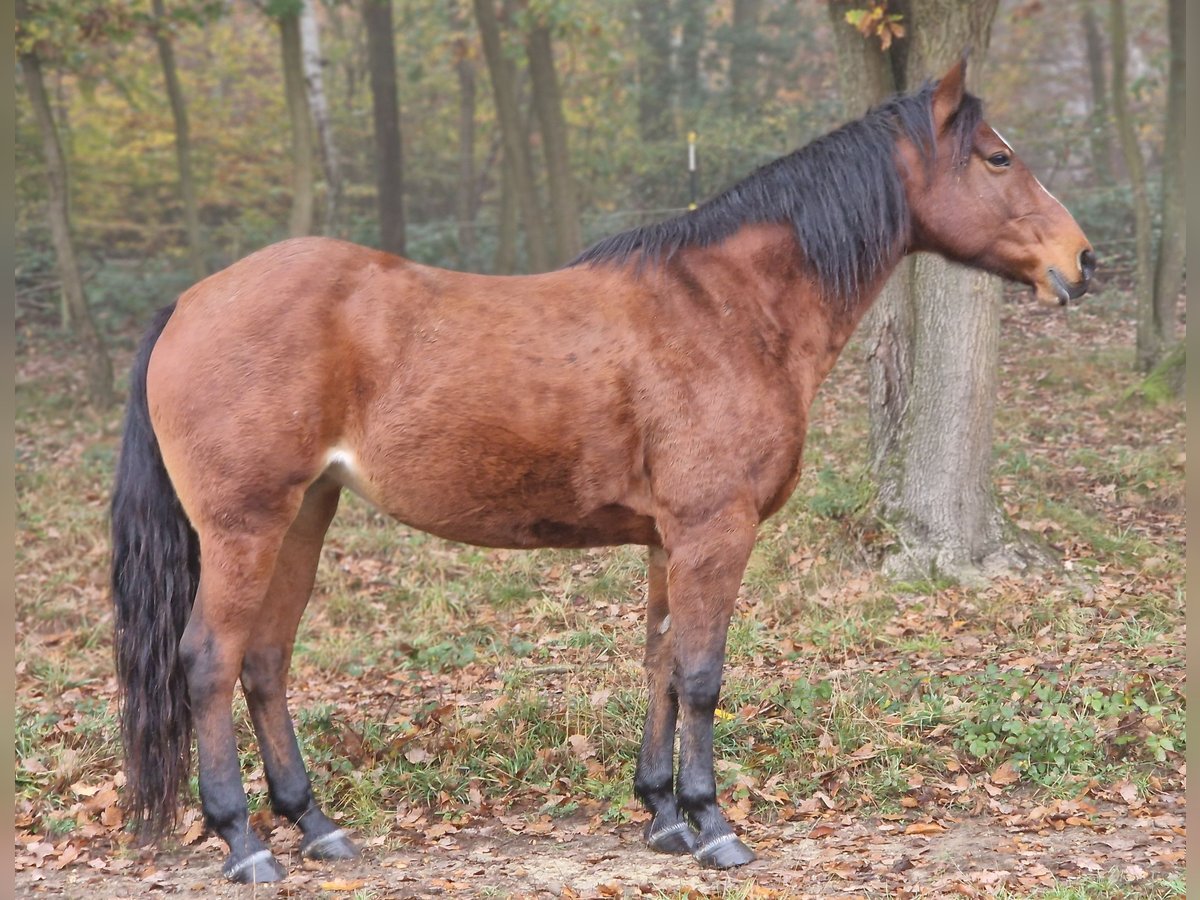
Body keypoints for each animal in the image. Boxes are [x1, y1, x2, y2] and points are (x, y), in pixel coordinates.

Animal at [114, 58, 1099, 888]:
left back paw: (315, 824)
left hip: (305, 516)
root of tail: (189, 303)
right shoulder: (713, 531)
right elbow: (701, 674)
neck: (729, 310)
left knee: (265, 661)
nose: (1082, 261)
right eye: (998, 158)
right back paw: (243, 842)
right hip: (245, 527)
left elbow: (660, 661)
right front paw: (713, 825)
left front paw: (662, 816)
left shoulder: (670, 540)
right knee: (209, 661)